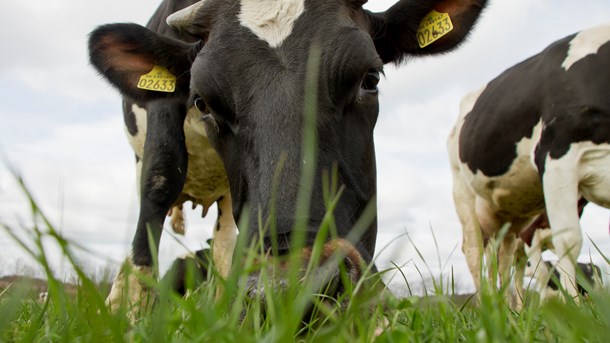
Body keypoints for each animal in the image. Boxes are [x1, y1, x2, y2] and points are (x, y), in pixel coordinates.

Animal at [446, 23, 608, 310]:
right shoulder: (556, 157)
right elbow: (567, 242)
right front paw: (574, 311)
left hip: (510, 214)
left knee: (504, 260)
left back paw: (509, 311)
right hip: (464, 193)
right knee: (476, 252)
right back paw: (489, 309)